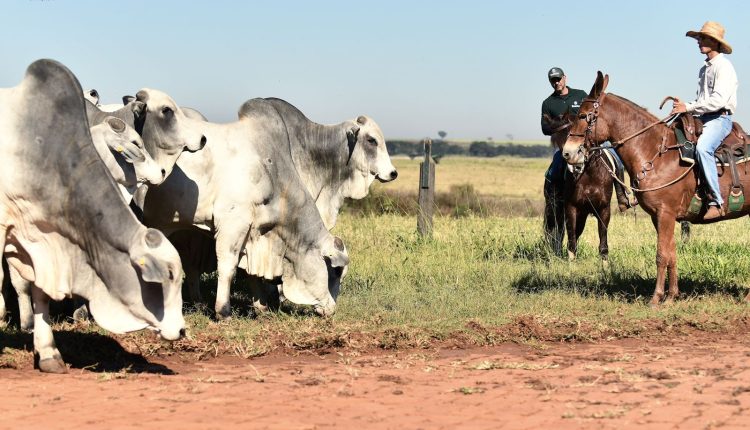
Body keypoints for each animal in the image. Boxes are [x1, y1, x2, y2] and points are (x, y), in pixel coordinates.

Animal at [138, 97, 350, 320]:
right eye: (336, 271)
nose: (332, 310)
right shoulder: (233, 223)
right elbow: (228, 267)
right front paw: (223, 311)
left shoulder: (254, 232)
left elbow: (250, 272)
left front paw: (261, 307)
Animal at [564, 71, 750, 306]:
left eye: (583, 115)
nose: (568, 153)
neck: (655, 153)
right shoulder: (659, 217)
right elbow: (671, 253)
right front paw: (671, 296)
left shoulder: (665, 214)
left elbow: (661, 255)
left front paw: (656, 298)